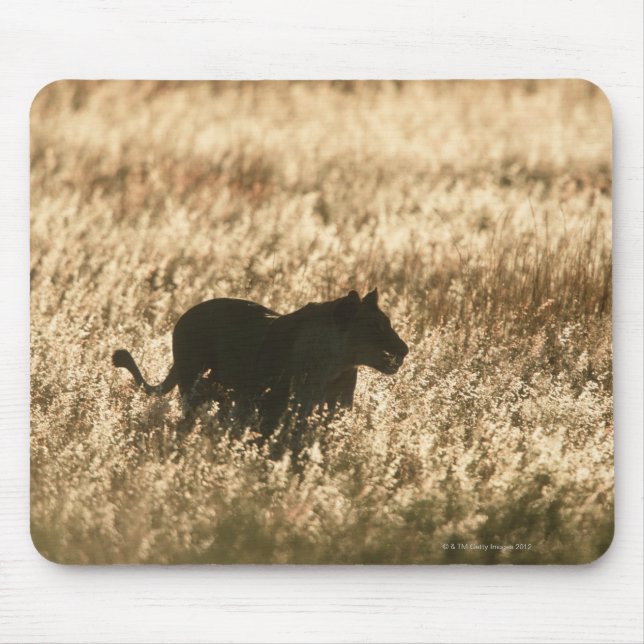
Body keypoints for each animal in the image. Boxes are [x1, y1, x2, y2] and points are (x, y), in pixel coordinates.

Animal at [112, 289, 408, 436]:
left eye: (388, 323)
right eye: (374, 326)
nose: (404, 350)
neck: (337, 366)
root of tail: (185, 316)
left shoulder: (335, 408)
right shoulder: (276, 407)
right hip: (193, 385)